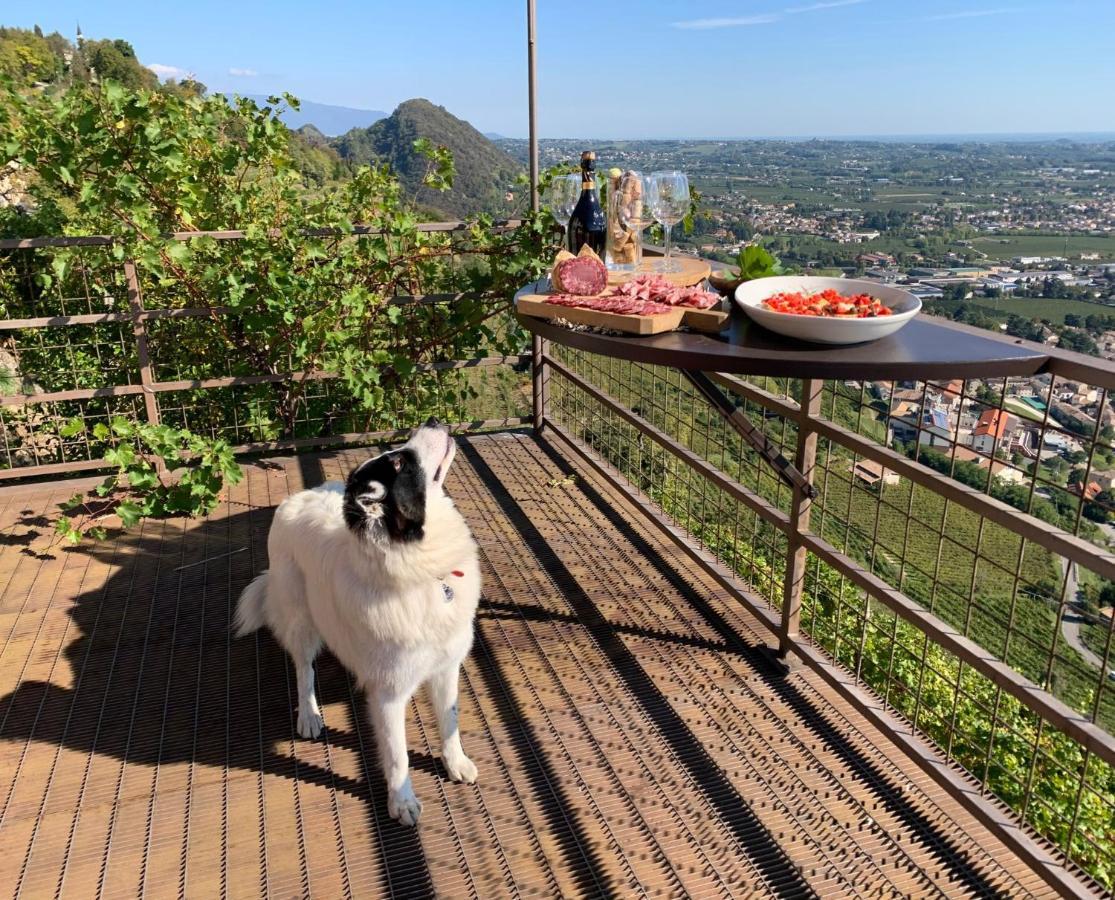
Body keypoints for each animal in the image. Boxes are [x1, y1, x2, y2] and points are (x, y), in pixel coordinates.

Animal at [235, 419, 479, 825]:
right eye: (399, 463)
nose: (431, 422)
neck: (421, 570)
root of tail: (297, 497)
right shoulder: (390, 695)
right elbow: (398, 756)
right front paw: (402, 802)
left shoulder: (446, 668)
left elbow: (450, 720)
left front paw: (455, 762)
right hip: (301, 618)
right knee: (303, 669)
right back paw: (309, 715)